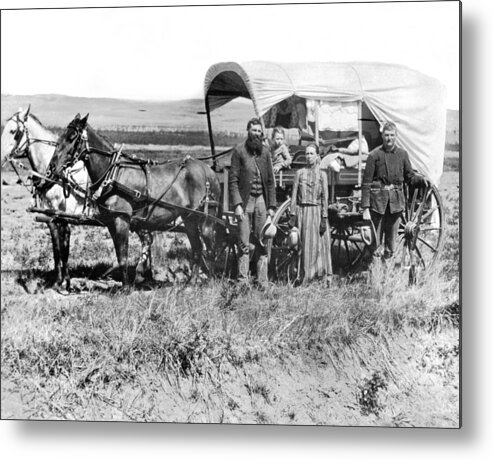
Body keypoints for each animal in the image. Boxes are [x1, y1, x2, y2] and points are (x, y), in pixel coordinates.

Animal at [0, 106, 92, 290]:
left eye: (13, 131)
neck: (56, 174)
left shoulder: (64, 216)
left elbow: (65, 247)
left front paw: (67, 282)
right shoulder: (50, 216)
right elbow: (56, 247)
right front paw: (58, 280)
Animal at [48, 113, 221, 290]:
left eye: (72, 137)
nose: (52, 167)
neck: (113, 174)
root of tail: (209, 171)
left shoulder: (122, 219)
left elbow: (123, 255)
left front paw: (126, 288)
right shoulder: (111, 221)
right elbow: (120, 255)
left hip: (207, 219)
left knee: (211, 249)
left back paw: (211, 281)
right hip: (189, 219)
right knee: (197, 248)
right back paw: (191, 283)